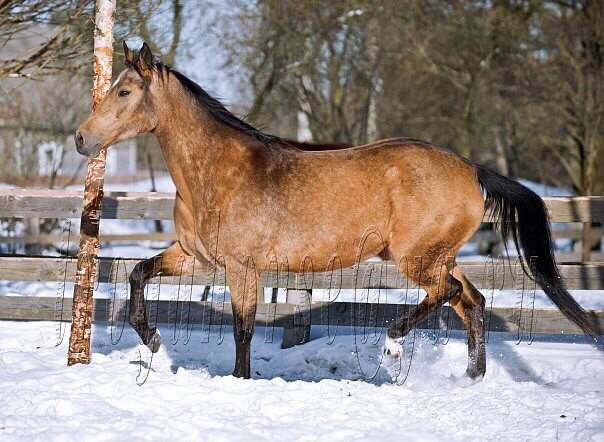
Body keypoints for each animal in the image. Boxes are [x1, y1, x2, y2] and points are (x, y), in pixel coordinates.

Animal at [73, 42, 596, 380]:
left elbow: (243, 331)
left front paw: (238, 381)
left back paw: (393, 344)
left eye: (124, 92)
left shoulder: (242, 269)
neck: (218, 172)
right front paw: (152, 339)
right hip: (438, 256)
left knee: (448, 294)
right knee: (472, 301)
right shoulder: (195, 257)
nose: (81, 138)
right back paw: (471, 378)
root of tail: (471, 169)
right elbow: (137, 273)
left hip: (415, 259)